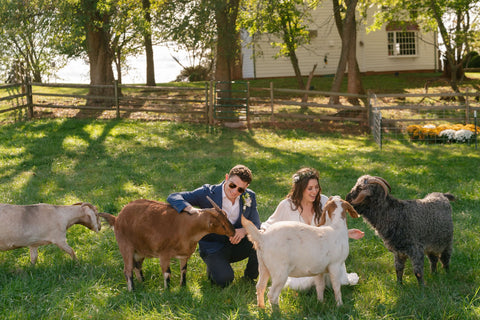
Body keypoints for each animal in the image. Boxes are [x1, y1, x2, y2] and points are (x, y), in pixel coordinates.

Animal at [99, 196, 234, 292]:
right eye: (222, 224)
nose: (233, 231)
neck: (185, 228)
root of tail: (116, 219)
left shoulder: (184, 255)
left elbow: (184, 270)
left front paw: (183, 286)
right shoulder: (164, 254)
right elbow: (167, 273)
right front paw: (167, 291)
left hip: (140, 251)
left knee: (137, 266)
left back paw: (143, 282)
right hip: (126, 247)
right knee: (127, 270)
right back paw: (132, 291)